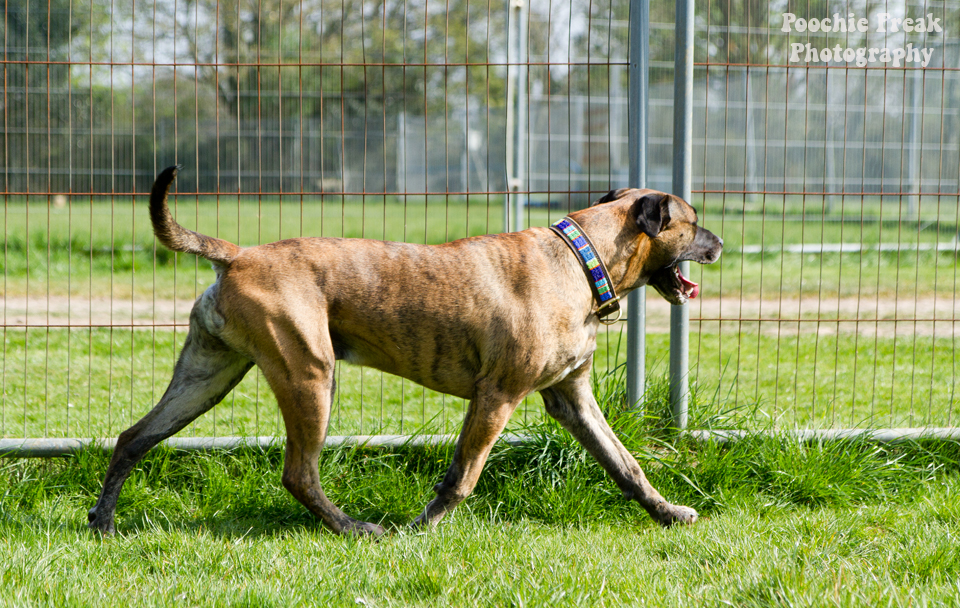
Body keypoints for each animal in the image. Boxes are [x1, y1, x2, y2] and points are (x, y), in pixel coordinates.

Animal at [88, 166, 720, 536]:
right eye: (692, 222)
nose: (720, 242)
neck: (580, 256)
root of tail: (237, 255)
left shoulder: (573, 399)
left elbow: (626, 465)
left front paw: (668, 512)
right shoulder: (496, 397)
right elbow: (462, 476)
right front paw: (423, 528)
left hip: (206, 376)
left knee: (133, 437)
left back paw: (103, 520)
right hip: (309, 375)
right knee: (299, 473)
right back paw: (353, 528)